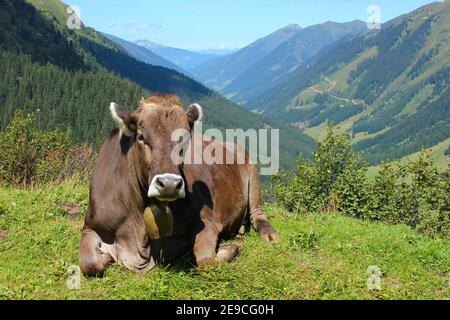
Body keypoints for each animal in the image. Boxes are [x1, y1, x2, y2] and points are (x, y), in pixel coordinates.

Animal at [80, 93, 278, 278]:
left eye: (186, 139)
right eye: (141, 137)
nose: (169, 184)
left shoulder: (208, 222)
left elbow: (206, 261)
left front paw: (230, 249)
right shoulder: (90, 225)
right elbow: (90, 265)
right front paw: (104, 258)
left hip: (253, 174)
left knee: (258, 215)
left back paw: (270, 234)